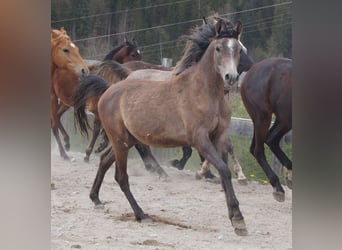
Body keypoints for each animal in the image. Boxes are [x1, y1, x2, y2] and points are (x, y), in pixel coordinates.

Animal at [78, 18, 248, 235]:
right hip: (120, 140)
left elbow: (224, 170)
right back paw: (141, 213)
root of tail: (109, 89)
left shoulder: (218, 137)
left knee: (105, 160)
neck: (205, 92)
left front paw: (235, 218)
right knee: (121, 176)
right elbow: (223, 170)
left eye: (238, 49)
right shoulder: (199, 139)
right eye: (218, 48)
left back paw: (96, 198)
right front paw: (238, 218)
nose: (231, 77)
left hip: (127, 140)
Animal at [239, 56, 292, 201]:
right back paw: (278, 188)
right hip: (263, 117)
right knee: (259, 149)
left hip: (281, 119)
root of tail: (253, 67)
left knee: (270, 141)